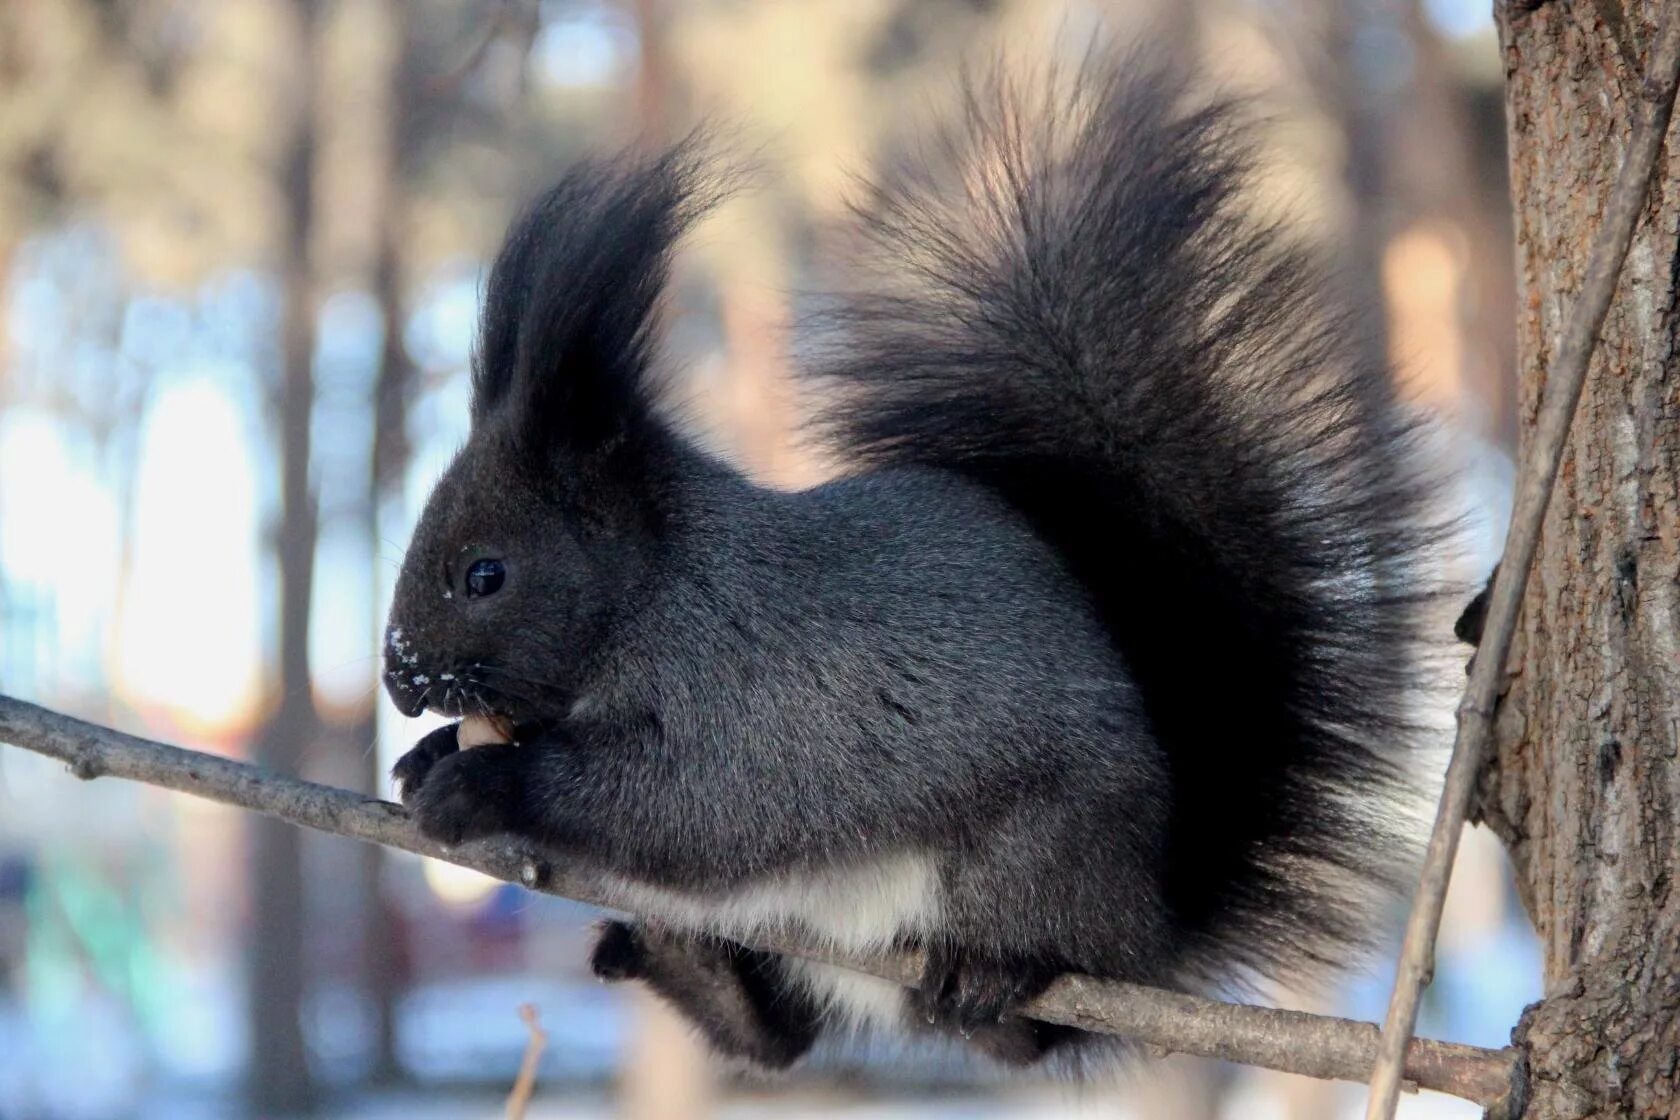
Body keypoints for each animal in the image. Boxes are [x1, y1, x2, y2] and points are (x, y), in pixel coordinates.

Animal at [381, 59, 1444, 1067]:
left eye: (485, 574)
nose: (399, 679)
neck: (657, 590)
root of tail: (1155, 927)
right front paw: (426, 756)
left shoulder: (756, 697)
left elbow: (696, 803)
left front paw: (486, 784)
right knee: (779, 1038)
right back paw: (697, 967)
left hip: (1034, 865)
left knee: (1020, 1029)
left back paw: (993, 980)